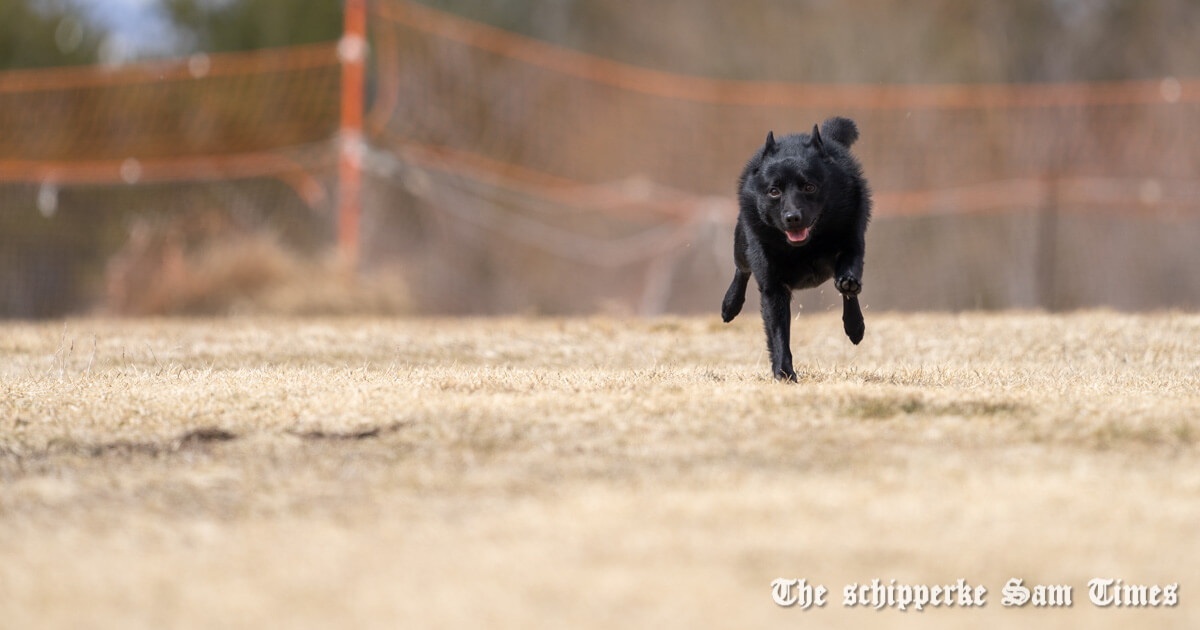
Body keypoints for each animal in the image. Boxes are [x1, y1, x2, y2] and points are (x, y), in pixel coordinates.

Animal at [715, 117, 868, 381]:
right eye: (774, 191)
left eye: (809, 187)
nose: (792, 218)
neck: (804, 249)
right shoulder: (773, 288)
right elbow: (778, 335)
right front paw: (784, 374)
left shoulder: (852, 240)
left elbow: (850, 274)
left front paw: (853, 317)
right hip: (741, 244)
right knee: (741, 270)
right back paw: (730, 306)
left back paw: (854, 325)